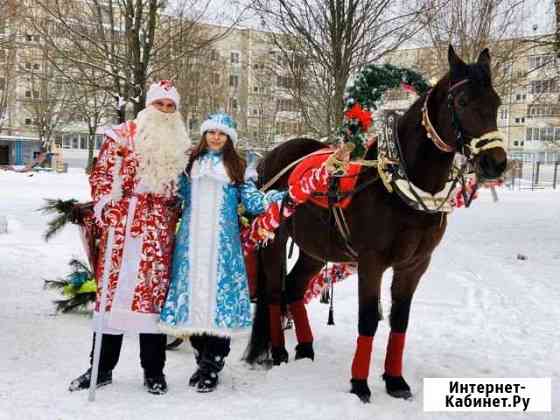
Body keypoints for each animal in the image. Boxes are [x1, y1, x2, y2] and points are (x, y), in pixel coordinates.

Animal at [244, 46, 508, 404]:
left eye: (496, 102)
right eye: (464, 101)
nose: (496, 163)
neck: (399, 186)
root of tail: (272, 157)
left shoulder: (414, 265)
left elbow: (400, 320)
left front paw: (395, 379)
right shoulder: (372, 262)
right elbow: (368, 320)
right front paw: (359, 384)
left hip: (316, 248)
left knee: (294, 288)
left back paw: (306, 348)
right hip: (273, 238)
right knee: (274, 293)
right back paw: (278, 352)